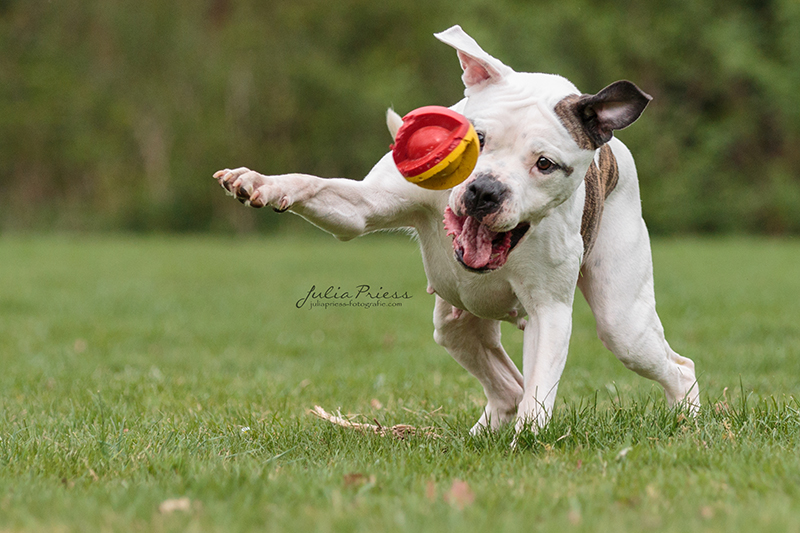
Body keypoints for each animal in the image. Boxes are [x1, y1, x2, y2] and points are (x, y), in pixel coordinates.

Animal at [216, 25, 696, 434]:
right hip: (456, 323)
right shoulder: (362, 207)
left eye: (544, 163)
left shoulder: (549, 311)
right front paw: (261, 184)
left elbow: (540, 390)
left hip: (624, 323)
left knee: (671, 364)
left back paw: (686, 420)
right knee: (507, 386)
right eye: (478, 140)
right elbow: (316, 187)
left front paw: (528, 445)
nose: (485, 190)